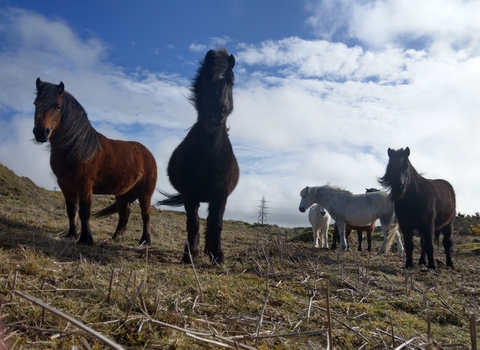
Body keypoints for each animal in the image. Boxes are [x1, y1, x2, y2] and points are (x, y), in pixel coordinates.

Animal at [32, 77, 157, 245]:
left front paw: (86, 239)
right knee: (125, 212)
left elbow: (84, 211)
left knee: (146, 214)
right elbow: (71, 210)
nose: (41, 133)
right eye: (35, 103)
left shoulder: (85, 185)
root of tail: (148, 154)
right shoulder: (65, 185)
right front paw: (72, 234)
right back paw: (117, 236)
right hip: (122, 193)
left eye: (57, 106)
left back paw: (145, 240)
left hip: (145, 193)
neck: (77, 146)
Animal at [157, 47, 239, 266]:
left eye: (231, 82)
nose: (217, 112)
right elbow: (193, 223)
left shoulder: (220, 197)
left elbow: (215, 224)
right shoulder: (190, 195)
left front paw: (217, 255)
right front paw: (189, 255)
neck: (208, 158)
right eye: (206, 80)